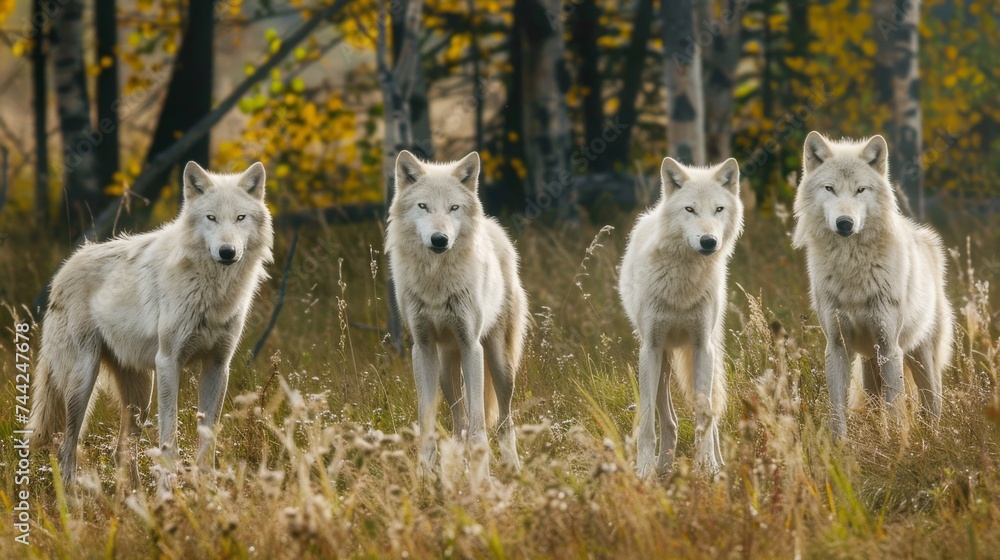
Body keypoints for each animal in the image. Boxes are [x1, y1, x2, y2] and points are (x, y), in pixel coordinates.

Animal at [29, 161, 273, 485]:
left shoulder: (218, 366)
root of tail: (63, 270)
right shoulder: (169, 361)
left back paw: (132, 495)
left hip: (140, 395)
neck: (214, 292)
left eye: (240, 218)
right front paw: (168, 491)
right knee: (66, 447)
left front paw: (206, 489)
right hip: (83, 381)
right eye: (211, 218)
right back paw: (72, 495)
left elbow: (208, 441)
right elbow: (169, 440)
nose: (227, 252)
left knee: (120, 451)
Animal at [385, 150, 528, 479]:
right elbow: (427, 423)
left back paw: (512, 468)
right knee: (457, 421)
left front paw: (481, 480)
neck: (437, 283)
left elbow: (478, 426)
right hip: (445, 371)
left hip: (499, 364)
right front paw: (425, 476)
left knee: (504, 421)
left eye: (453, 208)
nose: (440, 239)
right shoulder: (422, 349)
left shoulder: (471, 346)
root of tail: (492, 225)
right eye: (423, 206)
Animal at [619, 157, 744, 478]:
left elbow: (705, 414)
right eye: (690, 210)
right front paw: (644, 471)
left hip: (708, 351)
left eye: (718, 209)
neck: (683, 284)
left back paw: (717, 461)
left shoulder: (701, 347)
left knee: (710, 410)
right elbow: (647, 420)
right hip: (662, 358)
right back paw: (663, 465)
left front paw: (707, 467)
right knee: (669, 419)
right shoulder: (650, 348)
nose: (708, 241)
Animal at [792, 131, 954, 440]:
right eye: (830, 189)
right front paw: (839, 447)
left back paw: (934, 442)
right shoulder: (837, 345)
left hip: (920, 358)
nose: (845, 223)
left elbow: (895, 409)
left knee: (932, 407)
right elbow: (837, 410)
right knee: (875, 406)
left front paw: (896, 445)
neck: (852, 267)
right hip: (869, 364)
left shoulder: (890, 347)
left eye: (860, 190)